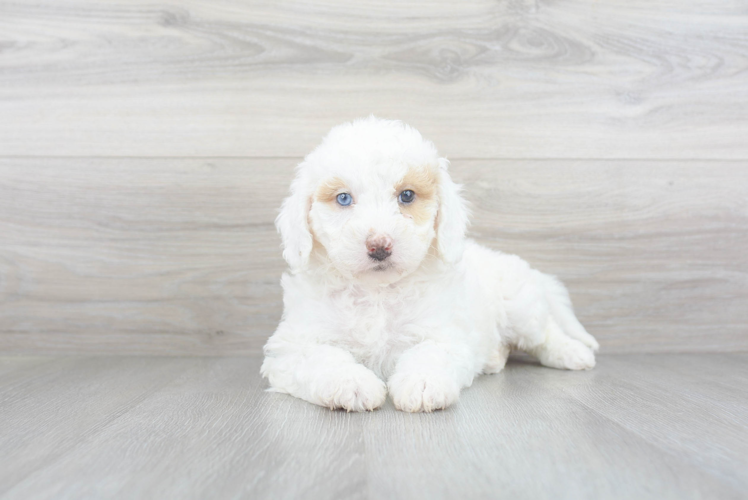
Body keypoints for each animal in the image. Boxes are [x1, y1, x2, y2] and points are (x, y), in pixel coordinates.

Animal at [260, 118, 600, 414]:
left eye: (407, 195)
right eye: (343, 199)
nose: (379, 245)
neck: (377, 293)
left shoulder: (443, 332)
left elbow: (429, 354)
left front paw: (422, 384)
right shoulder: (293, 344)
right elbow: (322, 357)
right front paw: (352, 383)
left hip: (519, 305)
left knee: (545, 332)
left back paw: (571, 352)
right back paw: (492, 358)